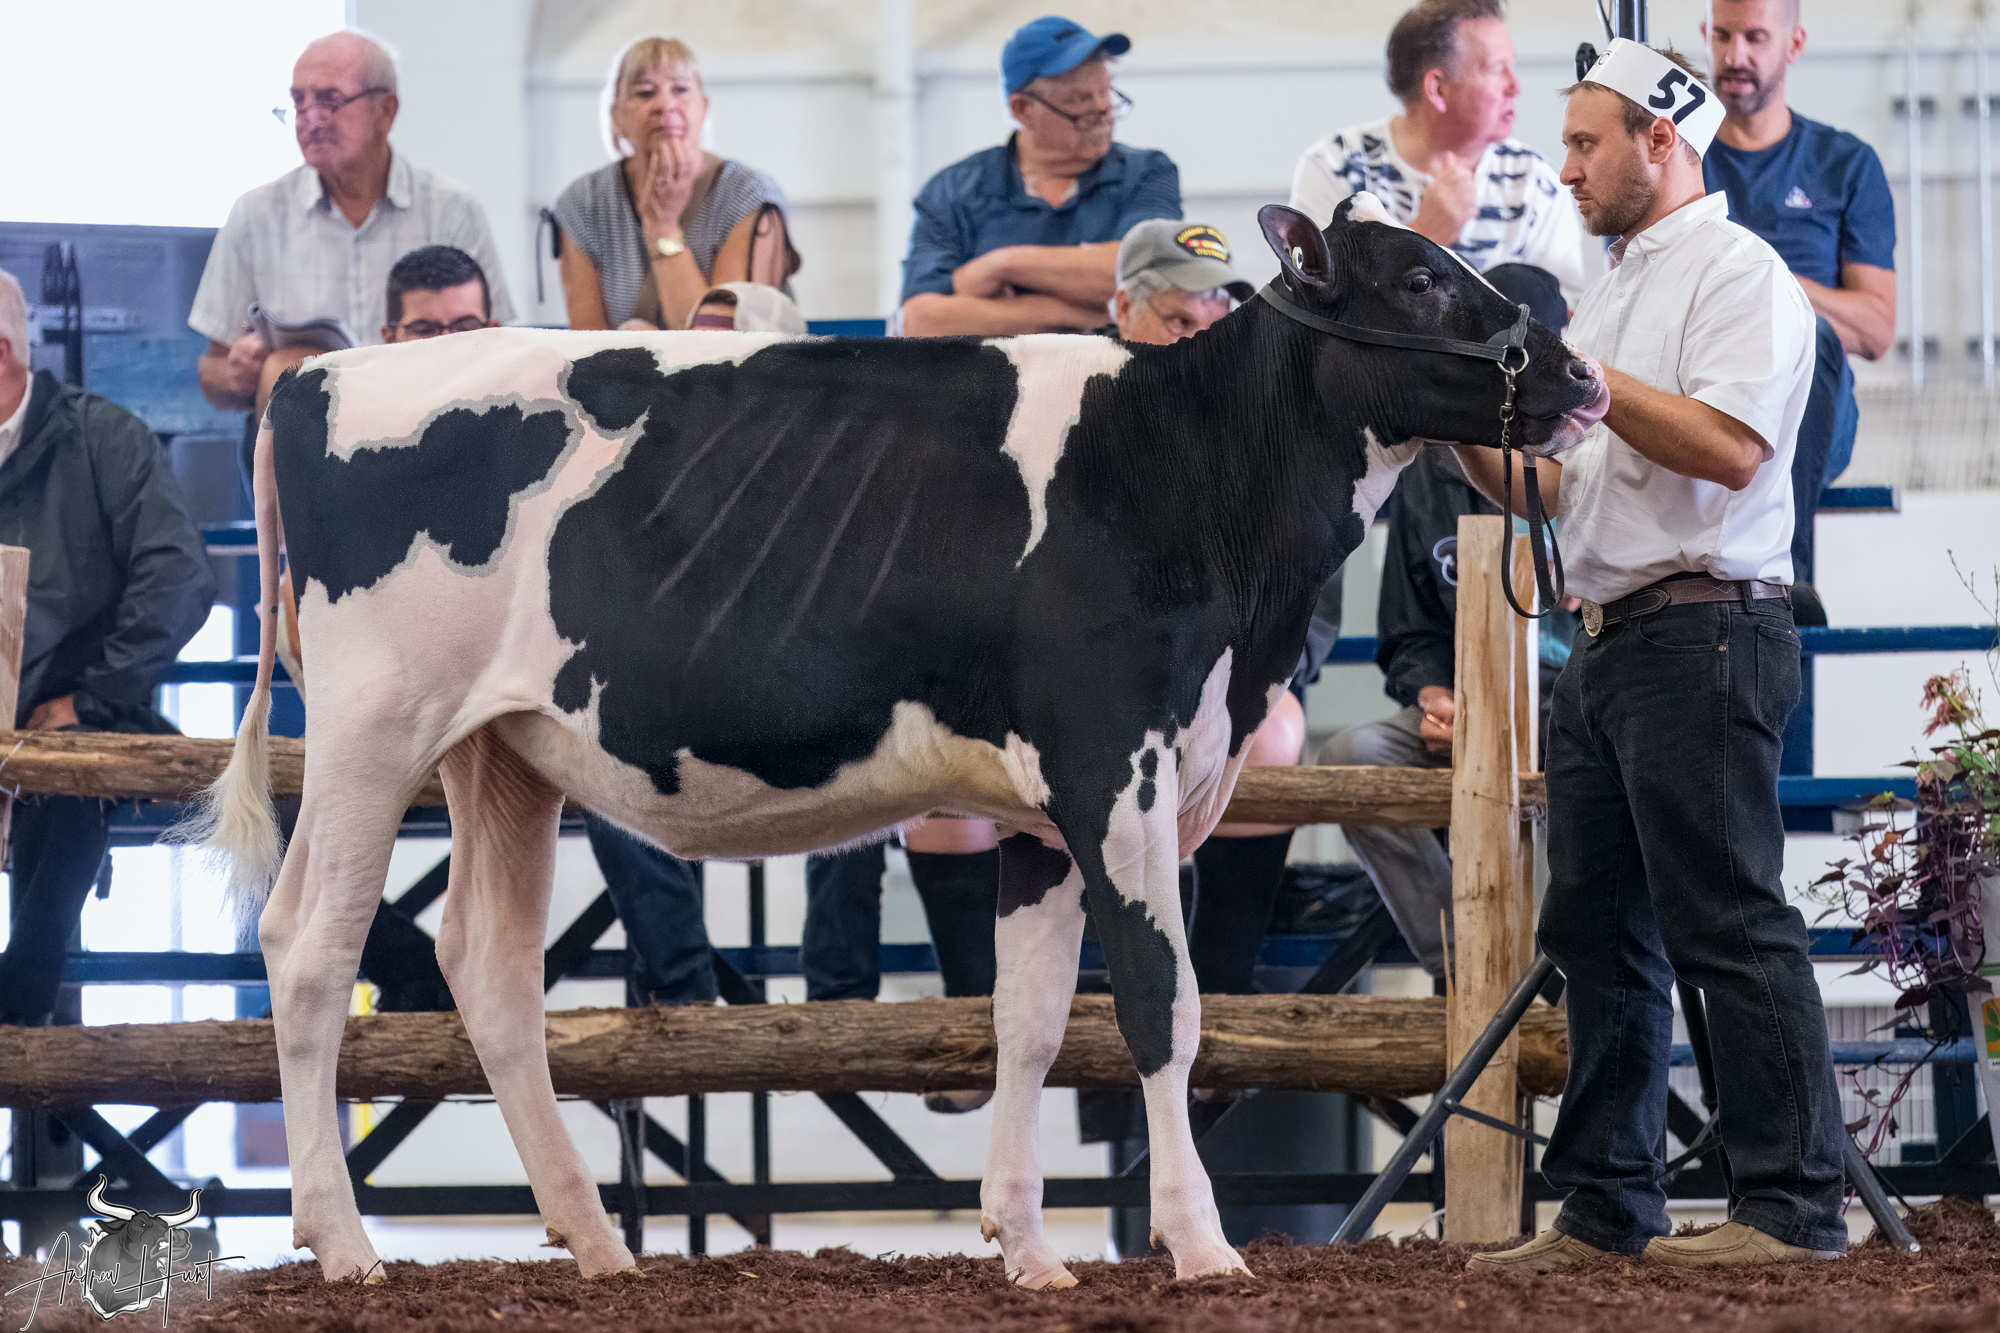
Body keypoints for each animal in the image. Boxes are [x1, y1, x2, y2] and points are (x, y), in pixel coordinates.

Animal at [190, 195, 1605, 1288]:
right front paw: (1203, 1249)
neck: (1187, 474)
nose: (1583, 377)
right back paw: (344, 1244)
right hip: (375, 727)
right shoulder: (1117, 764)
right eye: (1419, 275)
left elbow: (1029, 1018)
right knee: (308, 948)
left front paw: (1025, 1249)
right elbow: (1162, 1003)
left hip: (502, 753)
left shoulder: (1048, 808)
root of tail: (317, 375)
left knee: (485, 969)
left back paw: (595, 1245)